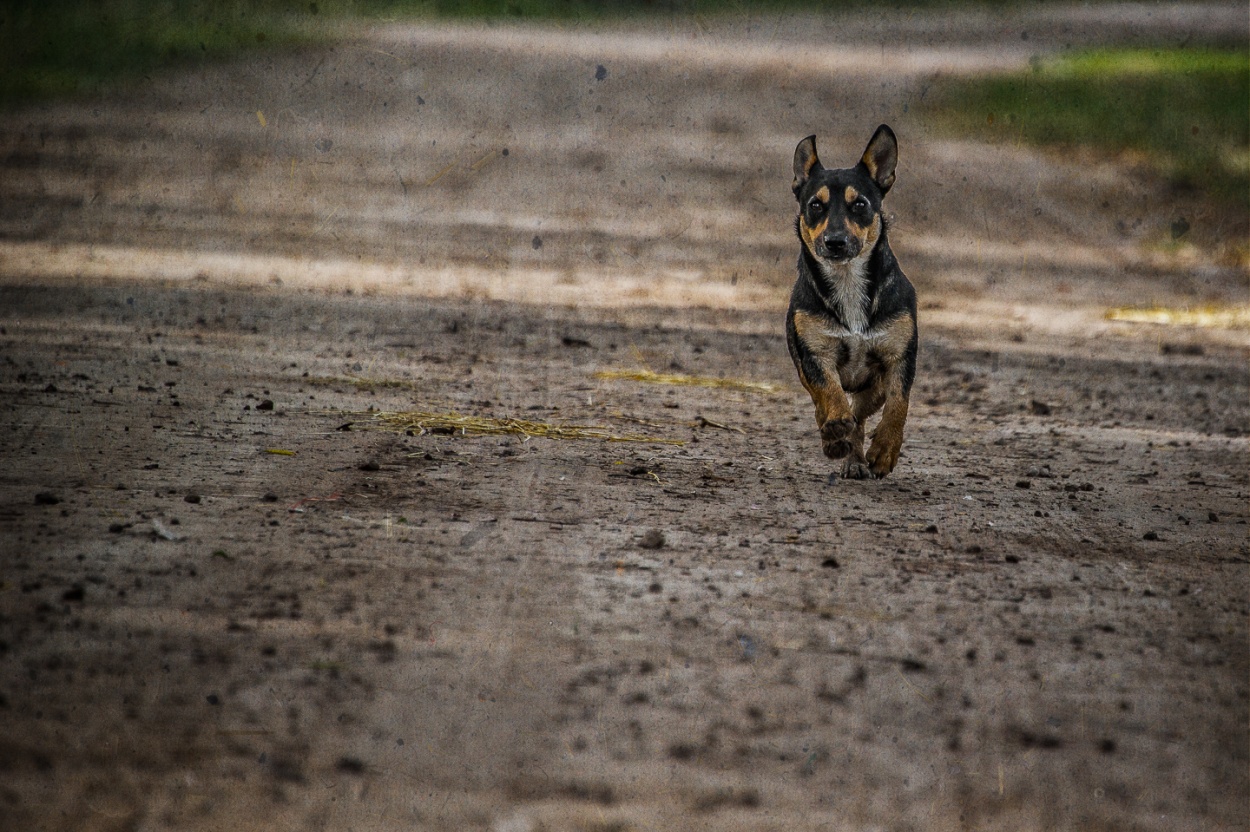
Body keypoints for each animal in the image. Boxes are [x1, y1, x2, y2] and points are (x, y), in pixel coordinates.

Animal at [790, 119, 920, 477]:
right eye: (815, 206)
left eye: (860, 204)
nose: (834, 241)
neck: (847, 280)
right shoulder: (815, 356)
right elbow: (829, 391)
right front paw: (835, 426)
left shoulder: (900, 358)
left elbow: (899, 404)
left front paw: (885, 450)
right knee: (828, 406)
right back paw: (836, 439)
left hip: (873, 388)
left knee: (861, 414)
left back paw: (857, 456)